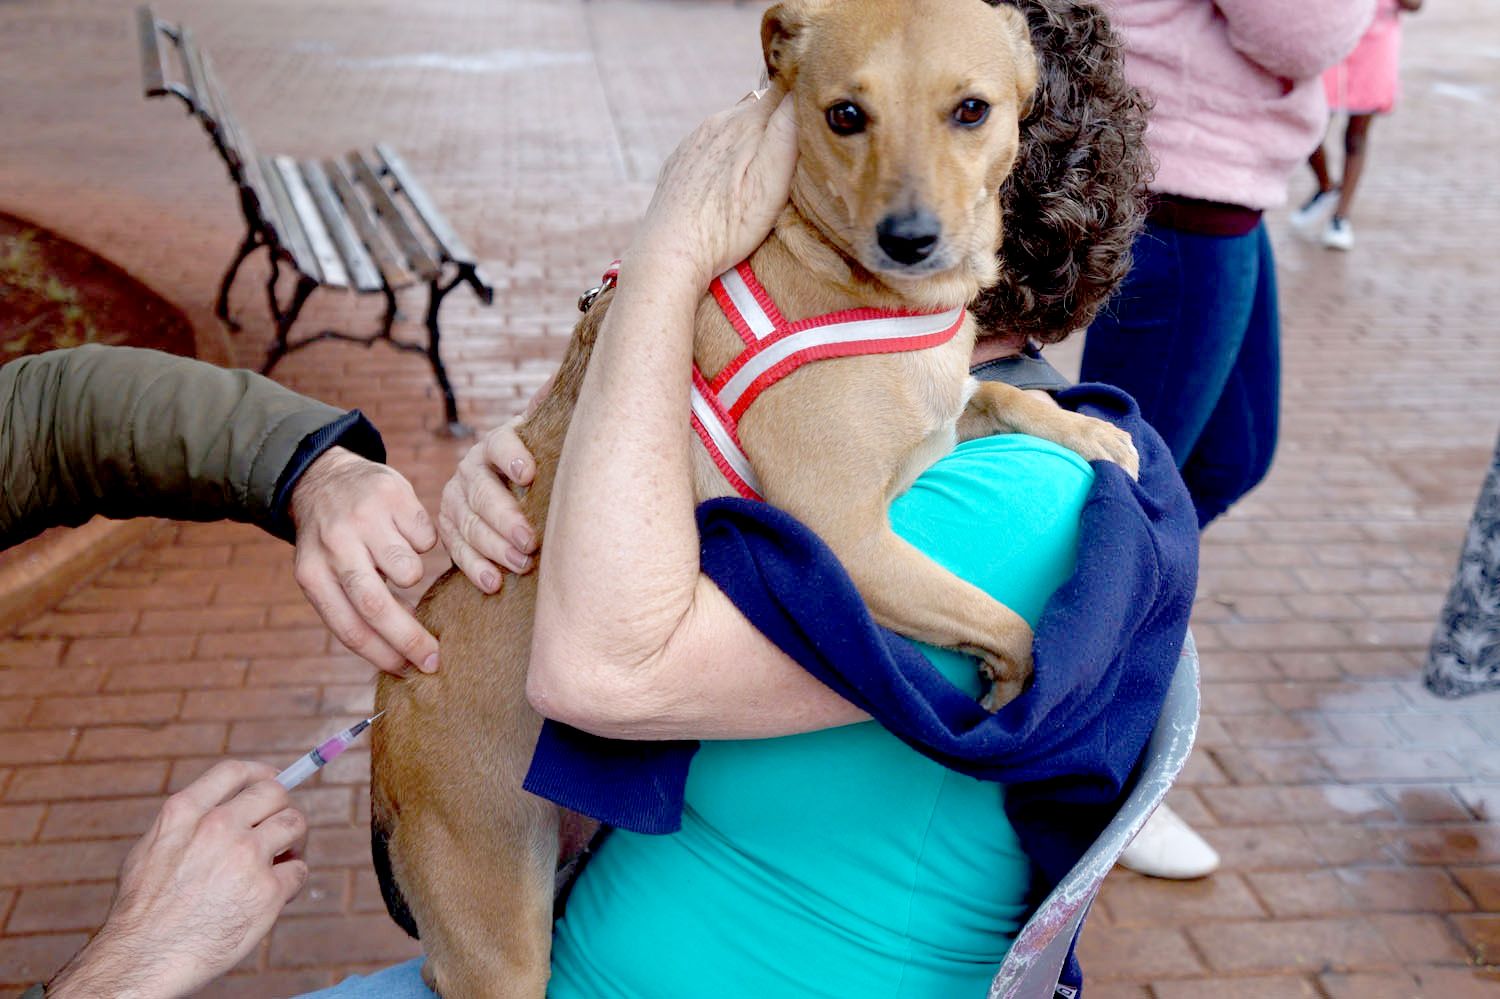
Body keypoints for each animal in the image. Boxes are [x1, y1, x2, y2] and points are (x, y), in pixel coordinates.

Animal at [372, 0, 1134, 990]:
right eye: (845, 115)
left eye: (972, 110)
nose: (910, 236)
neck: (870, 293)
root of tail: (385, 723)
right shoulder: (847, 539)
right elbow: (1004, 622)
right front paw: (1010, 690)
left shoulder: (934, 432)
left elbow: (1006, 396)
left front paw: (1091, 432)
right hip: (498, 934)